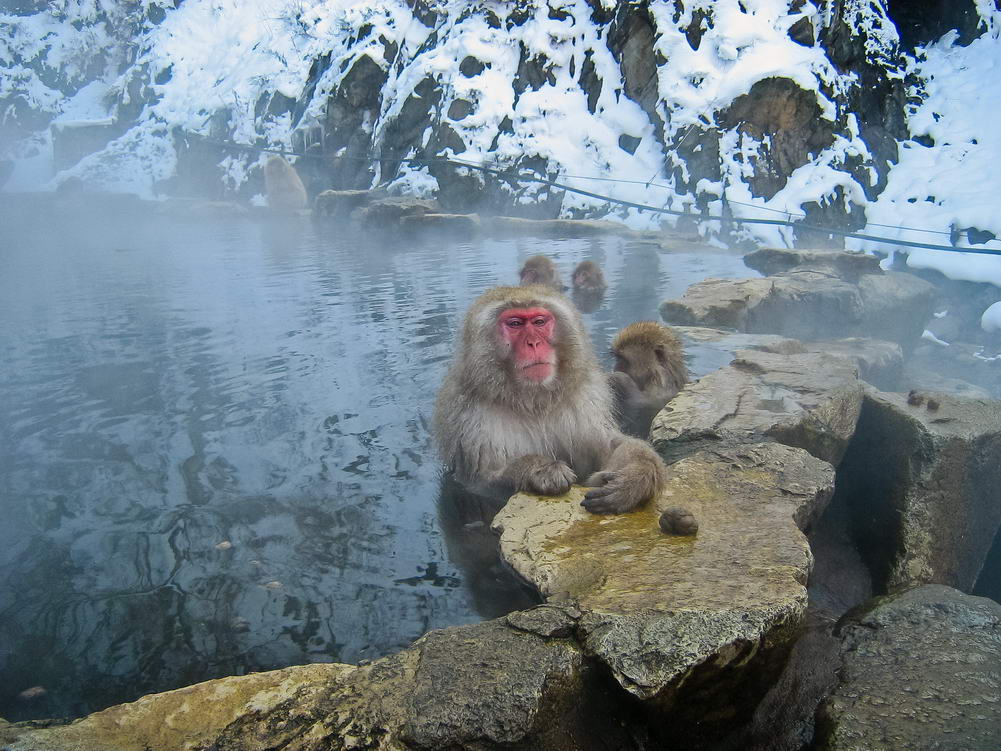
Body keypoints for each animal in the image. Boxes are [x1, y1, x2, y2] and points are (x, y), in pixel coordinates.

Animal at [434, 284, 668, 516]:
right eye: (515, 324)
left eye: (539, 322)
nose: (534, 343)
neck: (534, 401)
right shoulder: (469, 416)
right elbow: (475, 485)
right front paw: (537, 469)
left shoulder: (584, 400)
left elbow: (609, 444)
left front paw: (635, 476)